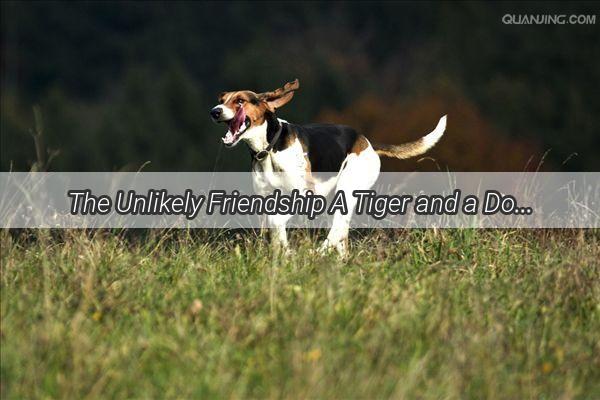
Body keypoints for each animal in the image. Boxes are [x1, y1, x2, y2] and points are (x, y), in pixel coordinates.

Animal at [211, 79, 446, 256]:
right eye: (221, 100)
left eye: (240, 101)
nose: (215, 111)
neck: (269, 149)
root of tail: (366, 141)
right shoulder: (265, 199)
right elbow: (274, 227)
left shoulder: (304, 195)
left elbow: (277, 220)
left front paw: (287, 252)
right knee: (341, 237)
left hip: (348, 190)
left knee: (336, 230)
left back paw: (320, 252)